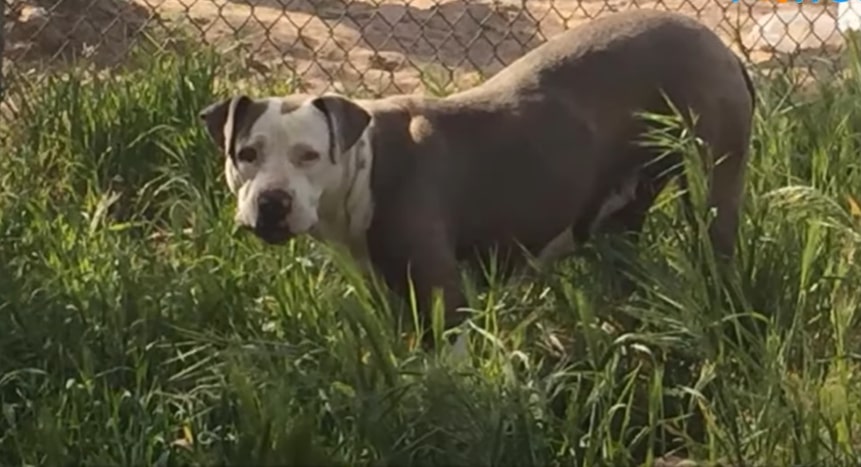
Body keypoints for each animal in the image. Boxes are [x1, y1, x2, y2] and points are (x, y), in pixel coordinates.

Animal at [198, 8, 756, 344]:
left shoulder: (444, 294)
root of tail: (717, 42)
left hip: (712, 182)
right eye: (247, 154)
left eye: (309, 156)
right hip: (626, 211)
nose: (272, 202)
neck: (366, 165)